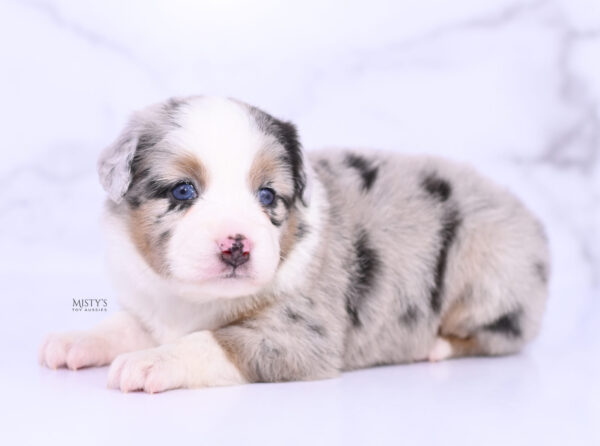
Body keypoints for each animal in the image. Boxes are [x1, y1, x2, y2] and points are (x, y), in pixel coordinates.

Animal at [38, 96, 548, 392]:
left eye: (267, 196)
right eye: (183, 191)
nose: (237, 246)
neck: (194, 300)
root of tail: (531, 220)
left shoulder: (302, 335)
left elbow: (211, 342)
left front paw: (148, 362)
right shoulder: (151, 300)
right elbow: (123, 325)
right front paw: (75, 340)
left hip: (489, 271)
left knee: (499, 335)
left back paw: (437, 346)